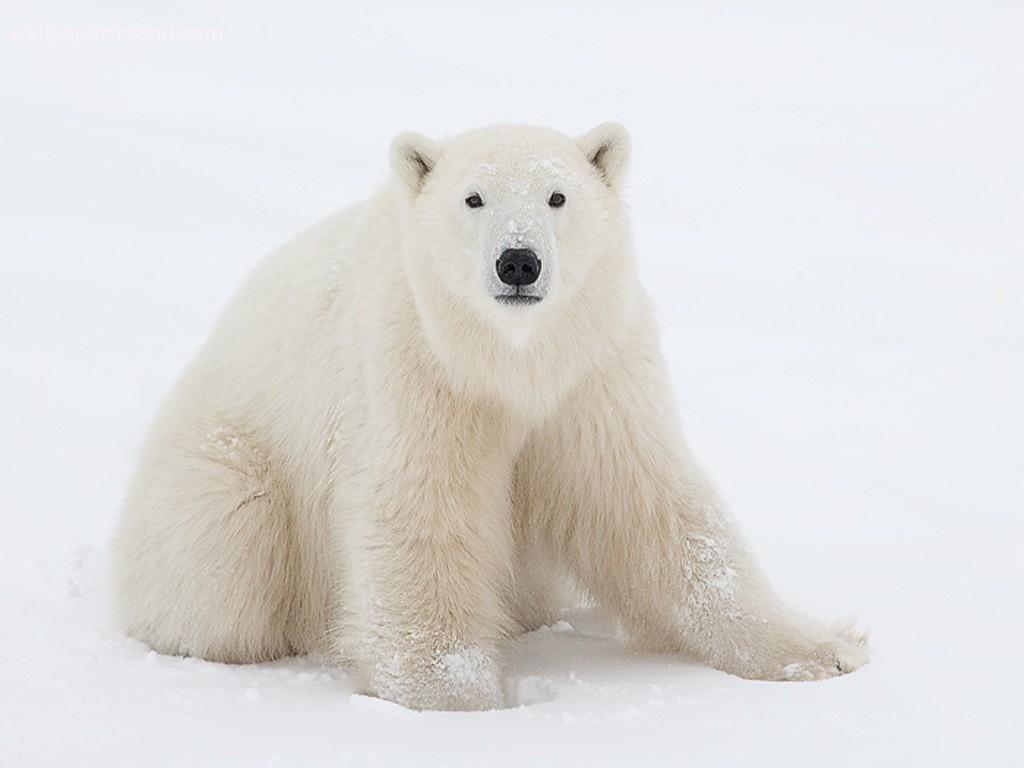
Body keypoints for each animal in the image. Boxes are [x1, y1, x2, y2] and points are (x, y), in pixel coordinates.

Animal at [113, 123, 869, 711]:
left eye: (558, 196)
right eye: (473, 198)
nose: (518, 262)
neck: (510, 359)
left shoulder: (593, 372)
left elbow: (648, 503)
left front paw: (822, 650)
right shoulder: (417, 367)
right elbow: (420, 509)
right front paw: (459, 699)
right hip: (224, 469)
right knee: (225, 555)